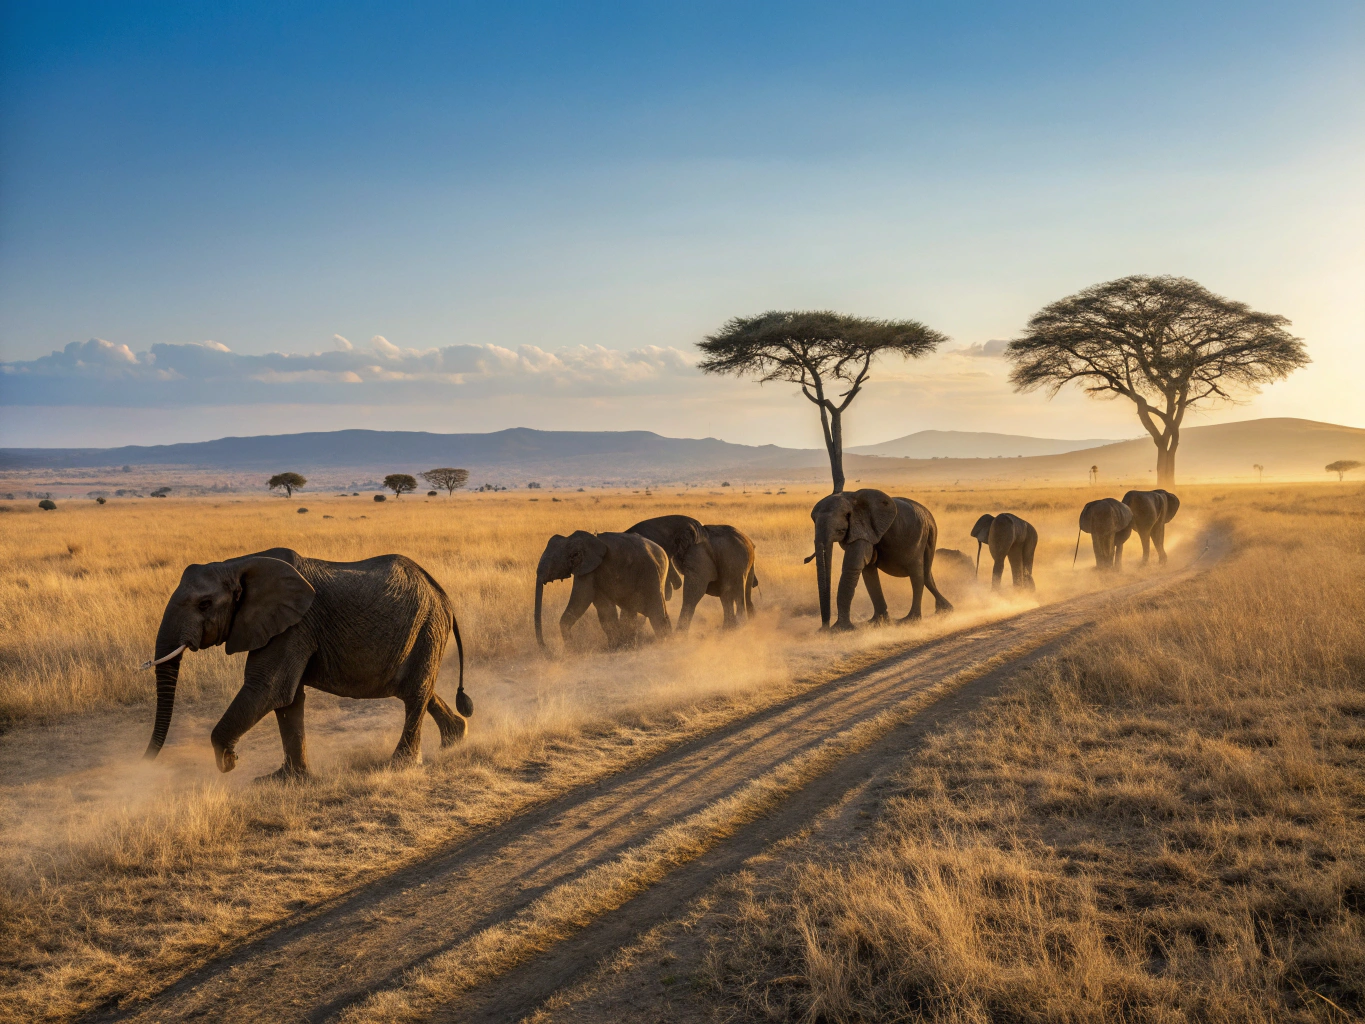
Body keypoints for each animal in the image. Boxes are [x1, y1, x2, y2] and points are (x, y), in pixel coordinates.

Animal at [143, 548, 470, 780]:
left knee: (415, 693)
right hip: (423, 632)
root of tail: (441, 593)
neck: (237, 564)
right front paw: (285, 780)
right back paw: (456, 738)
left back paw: (401, 765)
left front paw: (227, 761)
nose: (144, 762)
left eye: (204, 605)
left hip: (427, 625)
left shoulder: (294, 626)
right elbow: (288, 700)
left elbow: (268, 688)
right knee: (417, 688)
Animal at [535, 531, 671, 651]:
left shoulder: (588, 570)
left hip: (650, 575)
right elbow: (604, 609)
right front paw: (614, 647)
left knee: (656, 612)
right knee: (631, 611)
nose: (548, 651)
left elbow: (581, 599)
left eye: (550, 565)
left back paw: (662, 643)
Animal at [627, 515, 759, 631]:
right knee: (729, 596)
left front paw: (679, 637)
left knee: (737, 593)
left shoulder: (698, 554)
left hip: (737, 560)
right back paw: (731, 628)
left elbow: (695, 590)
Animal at [808, 488, 952, 630]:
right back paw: (945, 610)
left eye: (840, 529)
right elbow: (868, 570)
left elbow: (852, 567)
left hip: (920, 535)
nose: (824, 628)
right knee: (926, 574)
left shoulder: (863, 529)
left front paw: (840, 629)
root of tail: (929, 516)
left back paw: (911, 620)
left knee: (917, 574)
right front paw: (878, 622)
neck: (850, 497)